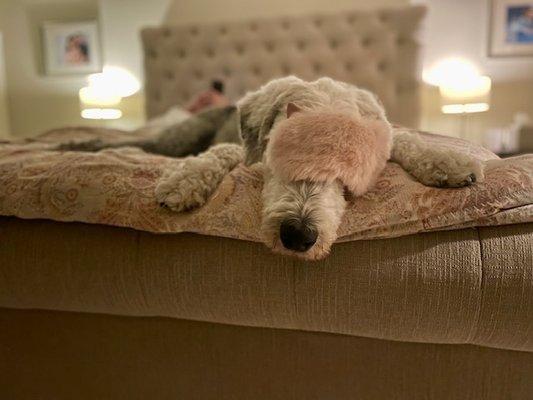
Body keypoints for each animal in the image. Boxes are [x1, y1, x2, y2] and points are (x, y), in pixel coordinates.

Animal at [155, 77, 482, 260]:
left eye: (350, 163)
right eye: (283, 147)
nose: (298, 235)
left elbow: (406, 138)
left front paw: (449, 162)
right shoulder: (244, 151)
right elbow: (222, 151)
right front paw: (183, 181)